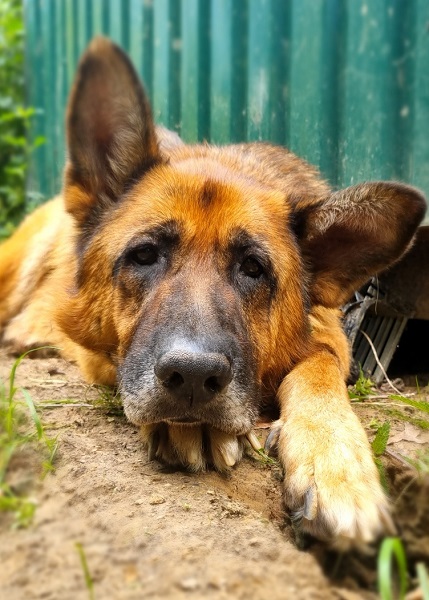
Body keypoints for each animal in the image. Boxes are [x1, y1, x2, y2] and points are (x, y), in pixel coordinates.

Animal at [0, 39, 424, 552]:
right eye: (145, 254)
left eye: (253, 268)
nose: (194, 377)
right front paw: (196, 428)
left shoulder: (331, 338)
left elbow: (320, 372)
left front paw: (338, 468)